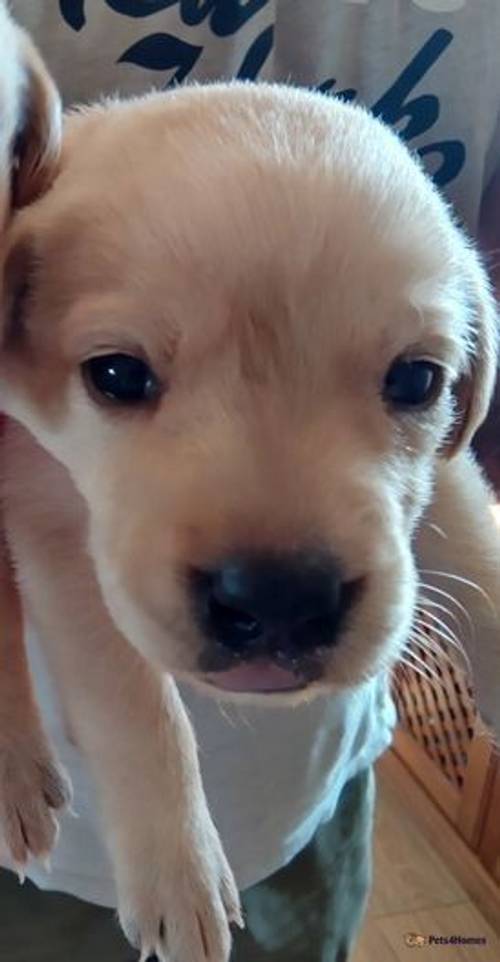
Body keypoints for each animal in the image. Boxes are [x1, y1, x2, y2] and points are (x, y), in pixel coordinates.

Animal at [0, 11, 500, 960]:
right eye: (115, 375)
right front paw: (178, 872)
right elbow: (134, 706)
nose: (281, 603)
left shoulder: (446, 464)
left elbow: (481, 551)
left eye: (417, 380)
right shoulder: (51, 522)